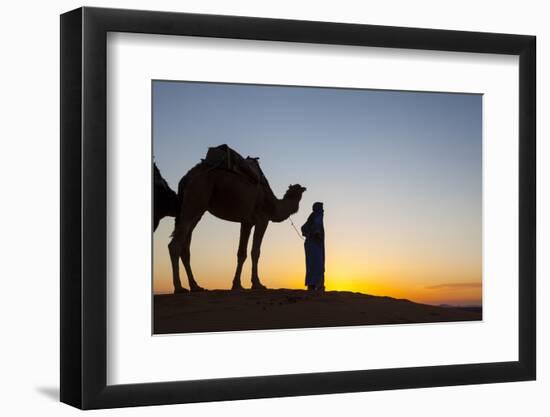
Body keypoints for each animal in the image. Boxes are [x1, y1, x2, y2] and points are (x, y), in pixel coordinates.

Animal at [169, 147, 306, 292]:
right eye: (298, 189)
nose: (304, 188)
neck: (273, 204)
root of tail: (186, 178)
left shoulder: (247, 222)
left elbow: (241, 253)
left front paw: (237, 285)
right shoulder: (262, 219)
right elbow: (255, 252)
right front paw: (257, 284)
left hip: (196, 211)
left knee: (185, 247)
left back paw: (195, 286)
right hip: (195, 199)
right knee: (175, 245)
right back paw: (179, 287)